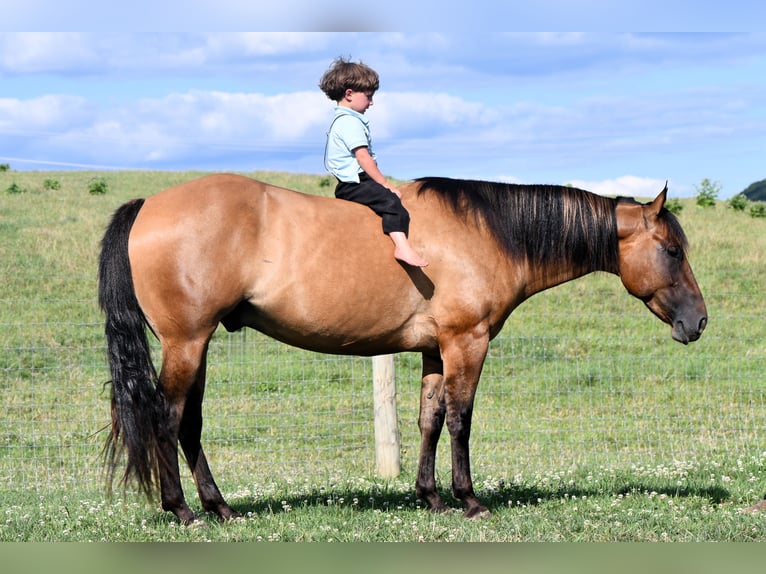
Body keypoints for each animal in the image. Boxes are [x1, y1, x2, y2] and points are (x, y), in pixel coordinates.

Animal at [99, 173, 712, 524]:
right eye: (673, 250)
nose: (699, 321)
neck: (486, 232)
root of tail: (149, 204)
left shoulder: (436, 350)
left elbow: (430, 419)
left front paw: (430, 496)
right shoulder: (468, 341)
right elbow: (462, 419)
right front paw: (468, 499)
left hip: (196, 345)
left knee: (190, 423)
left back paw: (219, 506)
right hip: (186, 343)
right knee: (167, 418)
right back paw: (182, 510)